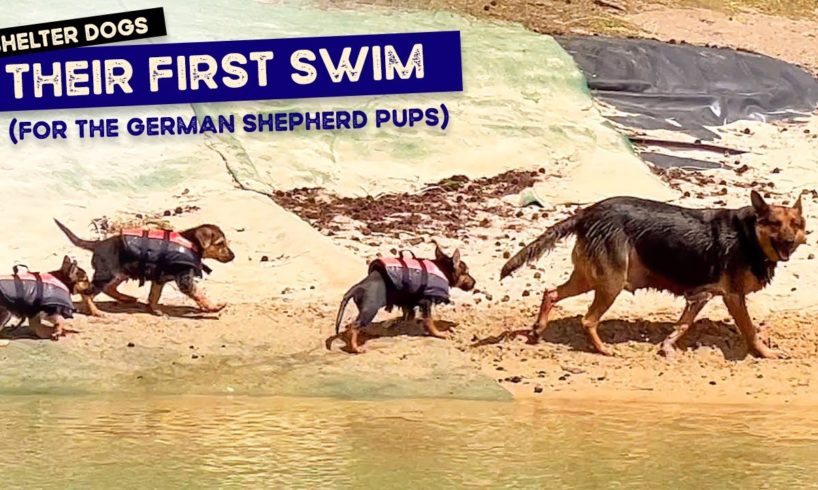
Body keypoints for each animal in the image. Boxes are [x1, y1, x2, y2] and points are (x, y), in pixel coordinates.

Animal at [52, 219, 234, 318]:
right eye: (220, 244)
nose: (233, 256)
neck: (191, 243)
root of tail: (97, 244)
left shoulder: (159, 279)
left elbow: (154, 295)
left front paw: (155, 310)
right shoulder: (184, 280)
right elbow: (199, 294)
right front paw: (214, 307)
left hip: (121, 273)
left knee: (110, 289)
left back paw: (126, 298)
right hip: (107, 274)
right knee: (88, 295)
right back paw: (96, 312)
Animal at [326, 243, 474, 354]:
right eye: (466, 272)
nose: (475, 282)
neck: (442, 270)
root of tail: (358, 287)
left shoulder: (407, 302)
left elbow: (407, 314)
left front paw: (401, 322)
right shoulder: (426, 303)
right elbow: (429, 321)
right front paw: (438, 334)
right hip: (370, 310)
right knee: (354, 327)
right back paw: (355, 348)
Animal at [498, 192, 804, 360]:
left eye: (796, 224)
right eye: (774, 223)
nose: (790, 241)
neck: (749, 235)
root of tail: (587, 212)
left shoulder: (701, 296)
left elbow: (683, 324)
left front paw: (667, 347)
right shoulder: (730, 296)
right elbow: (750, 330)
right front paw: (766, 353)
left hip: (588, 278)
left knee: (550, 292)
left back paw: (538, 330)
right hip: (611, 282)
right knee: (588, 320)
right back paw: (603, 350)